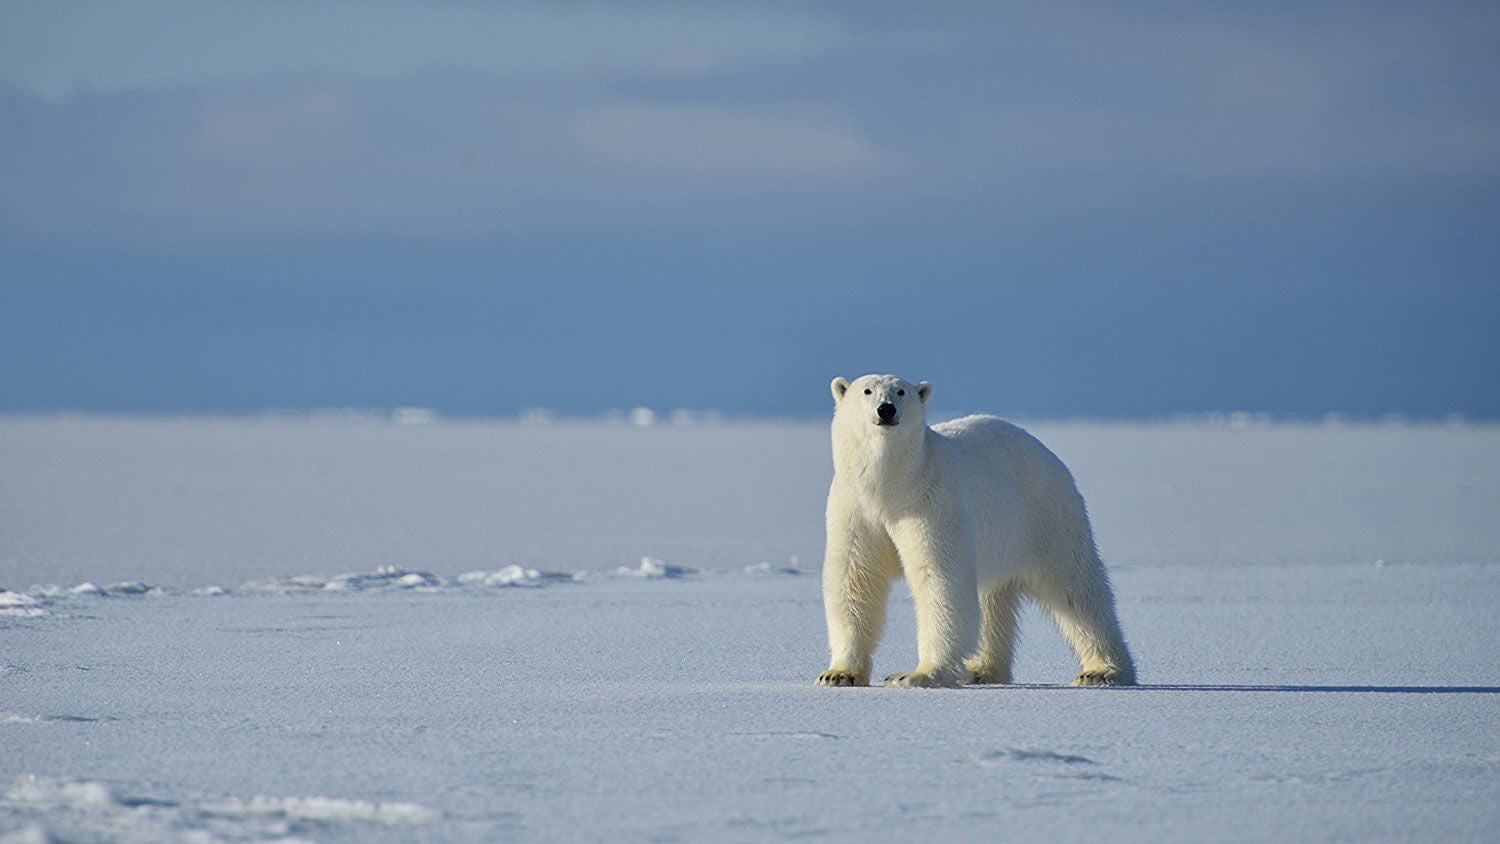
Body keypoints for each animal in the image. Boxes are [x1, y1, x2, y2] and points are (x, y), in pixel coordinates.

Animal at [822, 374, 1134, 686]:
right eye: (867, 390)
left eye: (901, 391)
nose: (886, 409)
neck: (891, 489)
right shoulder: (856, 510)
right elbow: (855, 579)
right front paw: (838, 674)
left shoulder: (931, 501)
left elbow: (939, 578)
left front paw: (917, 674)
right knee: (992, 599)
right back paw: (981, 670)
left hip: (1044, 515)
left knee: (1076, 590)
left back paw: (1102, 670)